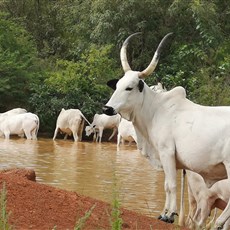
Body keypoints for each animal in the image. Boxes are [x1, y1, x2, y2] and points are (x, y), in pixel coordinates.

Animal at [103, 31, 230, 228]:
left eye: (129, 88)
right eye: (116, 86)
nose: (107, 109)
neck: (156, 109)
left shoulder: (166, 152)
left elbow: (170, 185)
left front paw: (169, 215)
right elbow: (166, 185)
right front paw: (164, 212)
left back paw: (218, 223)